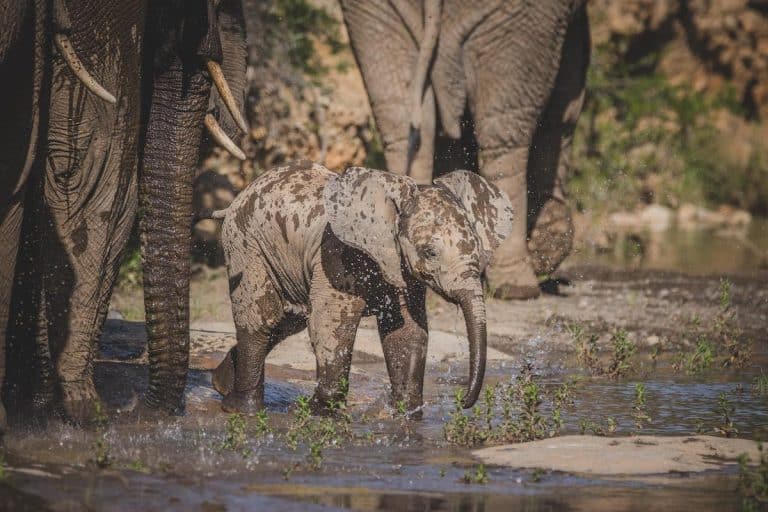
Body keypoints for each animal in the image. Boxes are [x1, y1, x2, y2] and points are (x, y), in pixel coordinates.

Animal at [207, 161, 513, 415]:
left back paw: (221, 384)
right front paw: (317, 411)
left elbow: (407, 332)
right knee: (263, 317)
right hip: (246, 244)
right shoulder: (337, 253)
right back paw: (241, 408)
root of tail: (238, 197)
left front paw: (405, 413)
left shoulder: (401, 266)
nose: (463, 403)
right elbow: (331, 323)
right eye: (430, 252)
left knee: (288, 319)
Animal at [339, 0, 591, 300]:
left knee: (401, 118)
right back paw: (518, 288)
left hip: (370, 11)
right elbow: (566, 99)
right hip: (524, 15)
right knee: (503, 128)